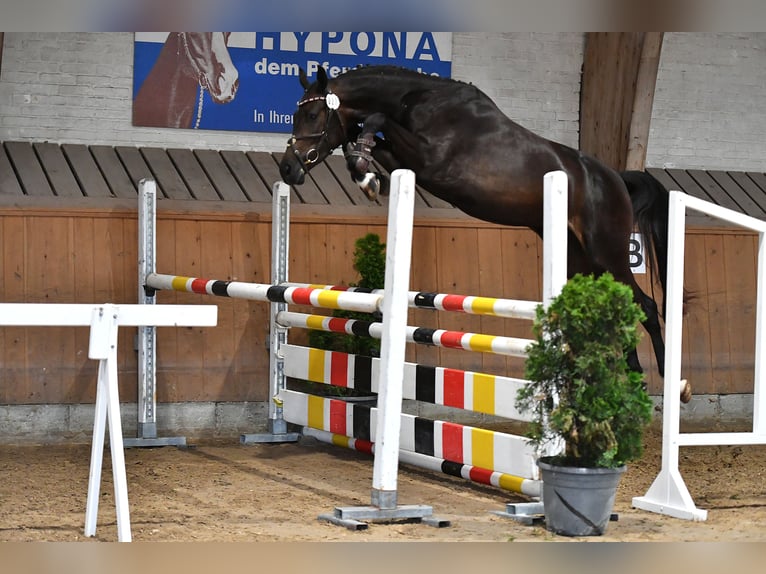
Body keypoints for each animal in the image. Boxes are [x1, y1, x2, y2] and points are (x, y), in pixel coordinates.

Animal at [280, 65, 692, 402]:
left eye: (312, 113)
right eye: (297, 113)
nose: (288, 169)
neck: (421, 99)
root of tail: (616, 179)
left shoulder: (430, 160)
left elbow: (375, 120)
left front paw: (365, 171)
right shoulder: (410, 161)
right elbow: (370, 135)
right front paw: (365, 173)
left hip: (606, 251)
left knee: (646, 305)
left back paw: (669, 385)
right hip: (579, 258)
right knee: (618, 305)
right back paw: (627, 379)